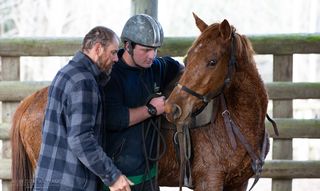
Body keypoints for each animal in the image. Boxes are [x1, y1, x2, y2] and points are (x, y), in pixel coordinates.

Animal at [10, 13, 272, 191]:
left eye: (212, 61)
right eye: (188, 58)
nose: (172, 108)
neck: (234, 122)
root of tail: (30, 101)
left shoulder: (237, 183)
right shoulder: (210, 181)